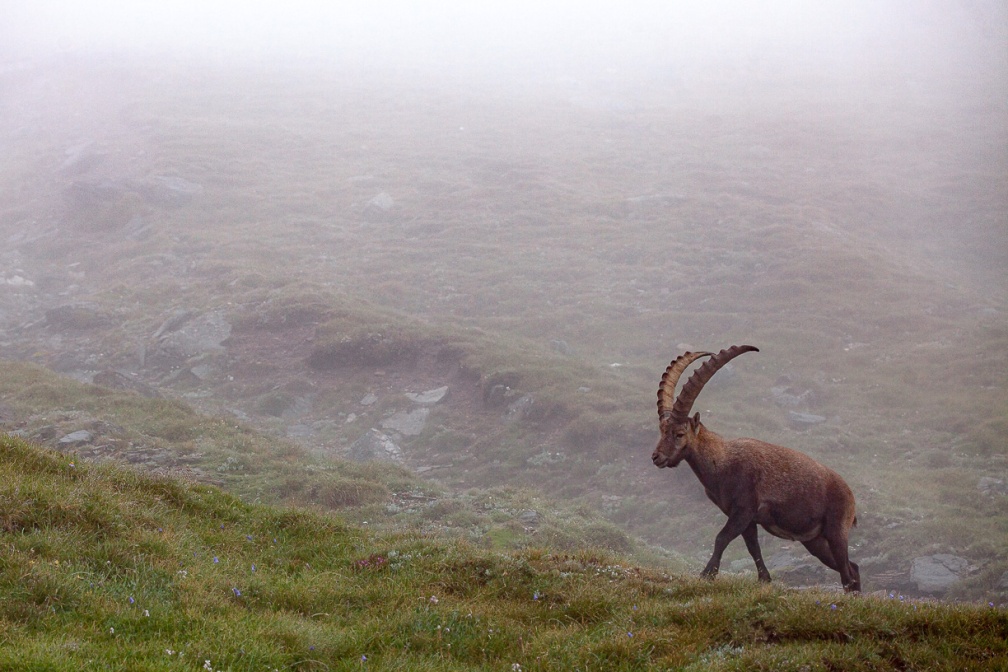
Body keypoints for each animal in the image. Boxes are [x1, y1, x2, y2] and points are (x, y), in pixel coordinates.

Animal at [652, 345, 860, 592]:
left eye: (679, 434)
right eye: (662, 430)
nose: (656, 457)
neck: (722, 462)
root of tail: (850, 495)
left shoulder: (744, 509)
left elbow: (721, 538)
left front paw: (707, 574)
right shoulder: (747, 519)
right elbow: (753, 547)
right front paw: (764, 579)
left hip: (836, 530)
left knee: (847, 572)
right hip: (814, 541)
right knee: (853, 568)